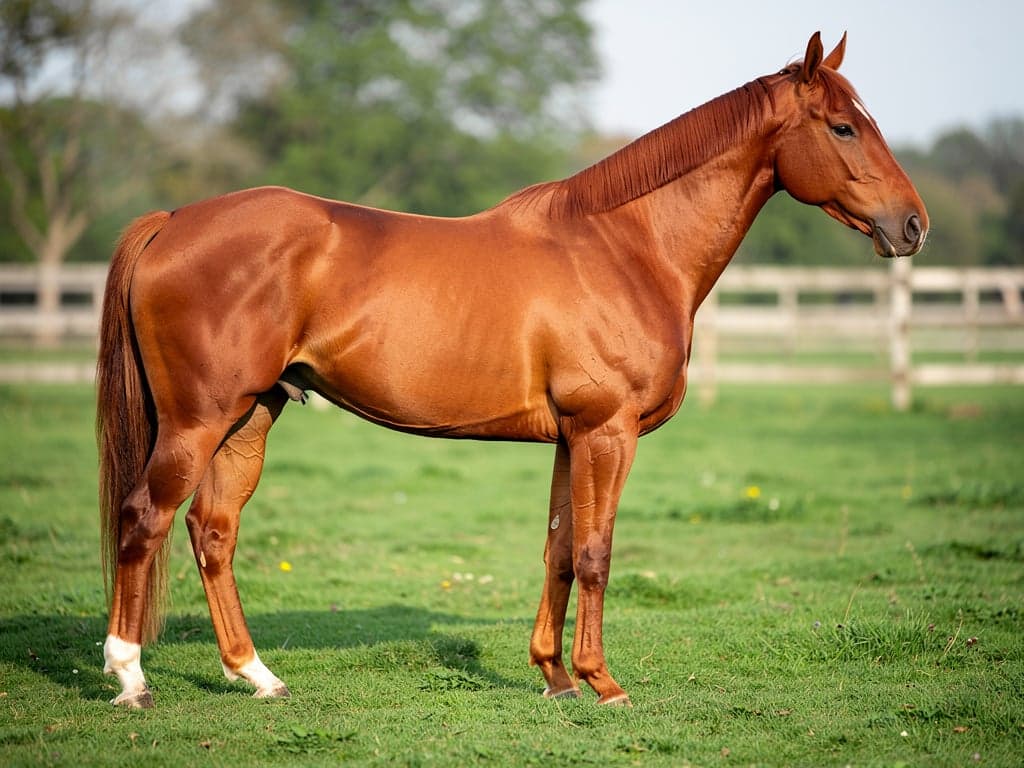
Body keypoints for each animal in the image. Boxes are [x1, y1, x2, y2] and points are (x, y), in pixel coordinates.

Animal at [97, 32, 927, 708]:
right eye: (844, 126)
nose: (913, 224)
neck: (625, 247)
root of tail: (172, 222)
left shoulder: (570, 437)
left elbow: (559, 549)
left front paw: (555, 676)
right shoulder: (607, 432)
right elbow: (595, 553)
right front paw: (602, 682)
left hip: (248, 418)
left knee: (213, 531)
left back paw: (256, 675)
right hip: (198, 421)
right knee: (144, 518)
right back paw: (130, 676)